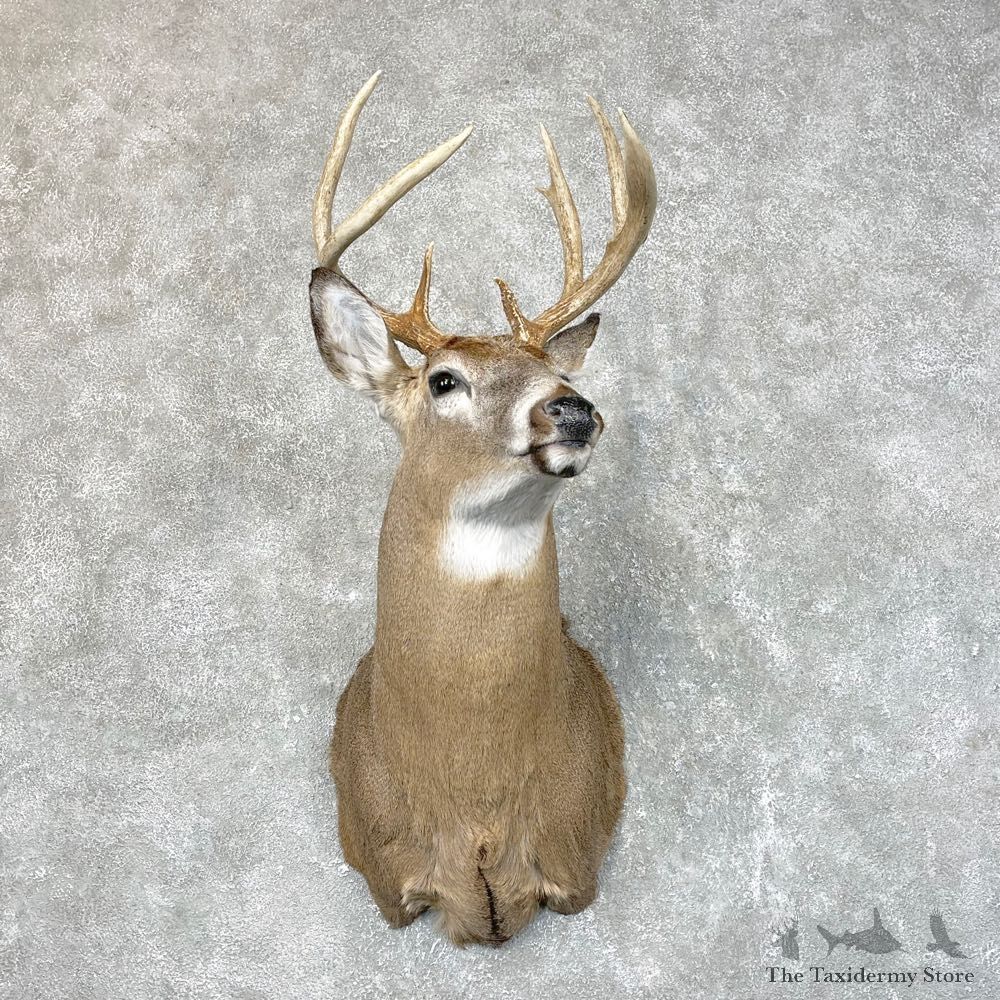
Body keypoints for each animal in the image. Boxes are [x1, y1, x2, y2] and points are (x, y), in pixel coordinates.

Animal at [308, 72, 656, 947]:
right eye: (444, 380)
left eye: (553, 369)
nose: (572, 410)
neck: (476, 804)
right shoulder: (386, 874)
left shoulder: (575, 854)